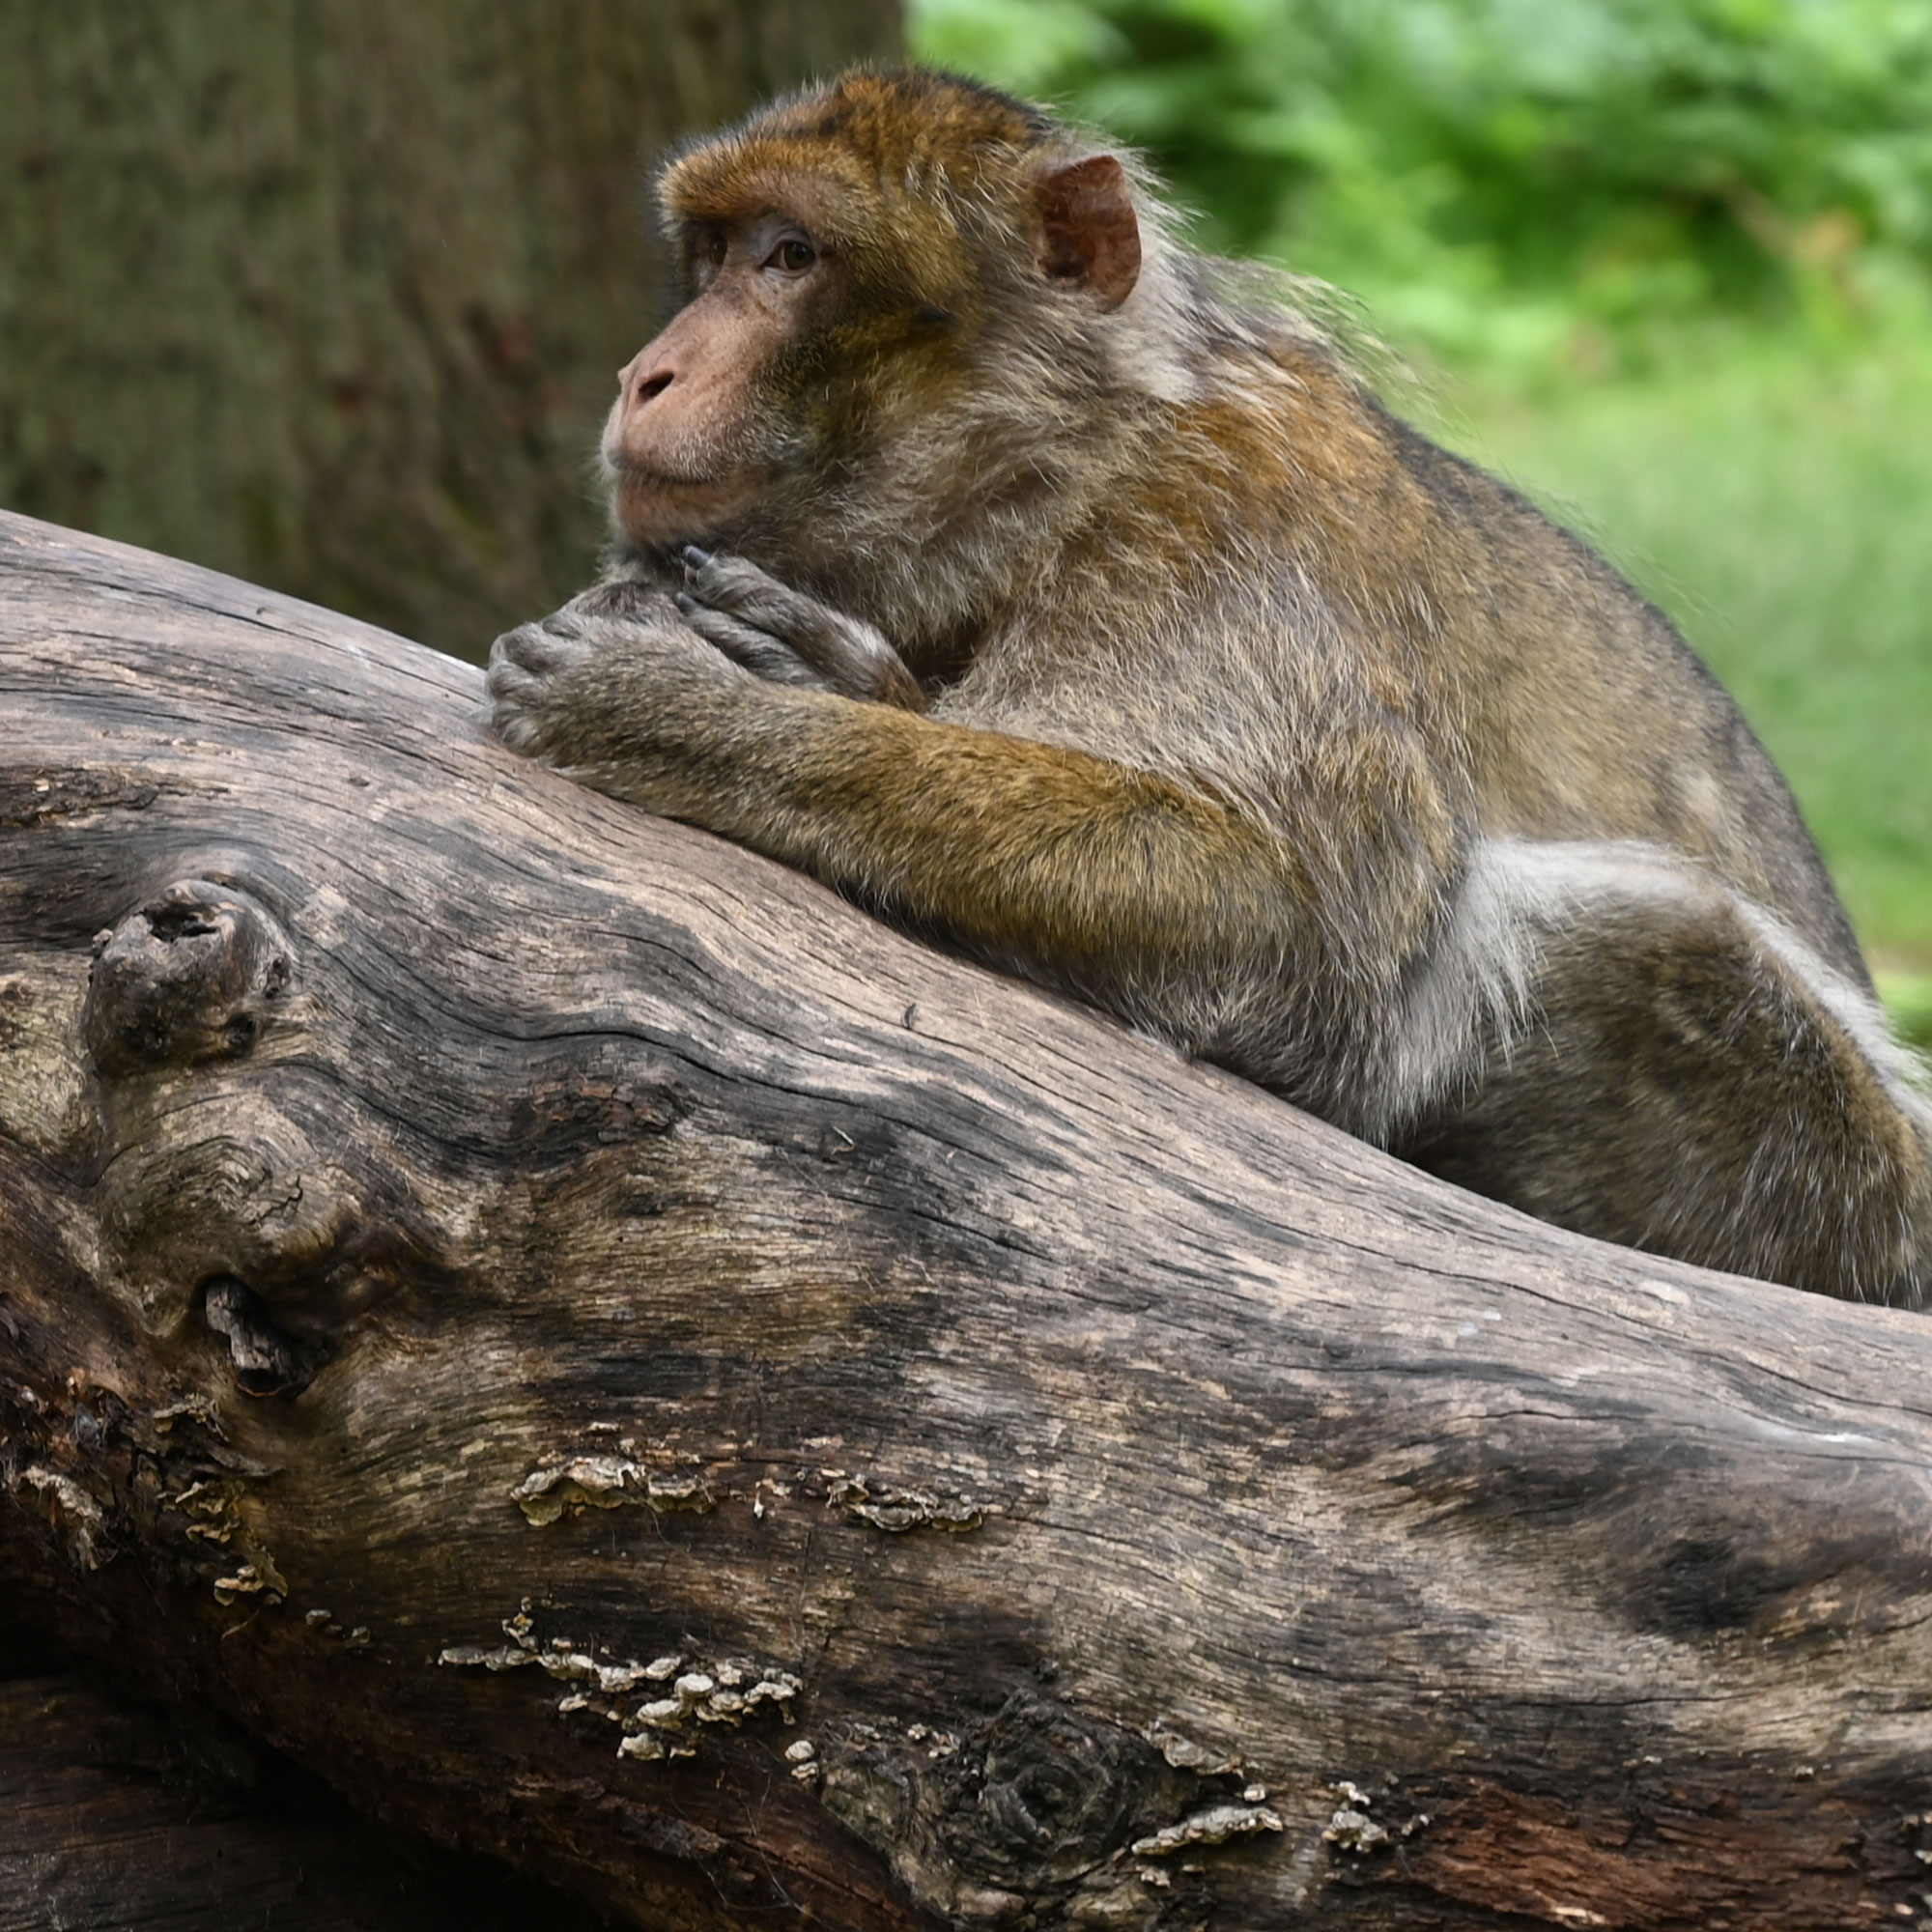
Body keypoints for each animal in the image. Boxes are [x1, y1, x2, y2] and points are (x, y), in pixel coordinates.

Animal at [487, 68, 1932, 1307]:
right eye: (712, 255)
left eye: (789, 258)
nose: (647, 371)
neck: (1068, 473)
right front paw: (833, 678)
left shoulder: (1228, 535)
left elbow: (1304, 931)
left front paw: (703, 723)